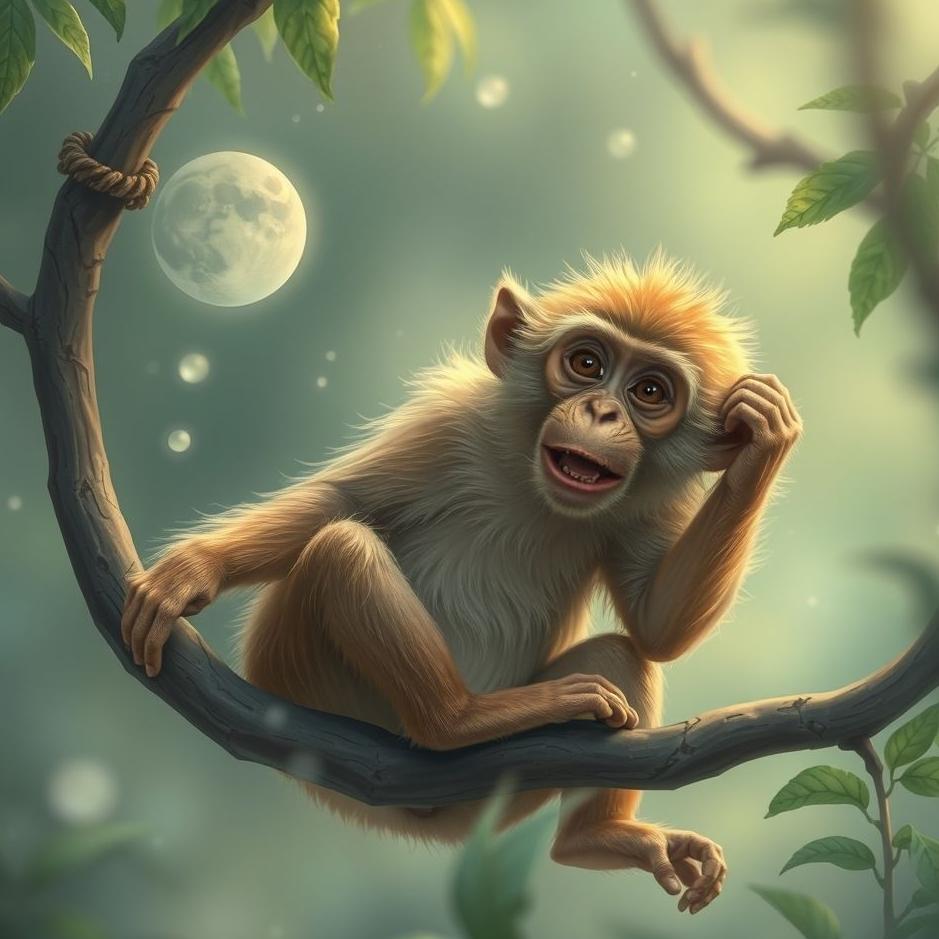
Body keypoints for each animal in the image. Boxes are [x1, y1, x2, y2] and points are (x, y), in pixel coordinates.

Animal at [121, 252, 801, 915]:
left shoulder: (653, 499)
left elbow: (657, 627)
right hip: (304, 672)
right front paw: (195, 570)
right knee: (343, 549)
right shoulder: (449, 420)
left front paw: (765, 437)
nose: (602, 411)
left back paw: (595, 838)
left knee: (618, 656)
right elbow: (343, 501)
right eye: (586, 363)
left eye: (650, 392)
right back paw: (456, 719)